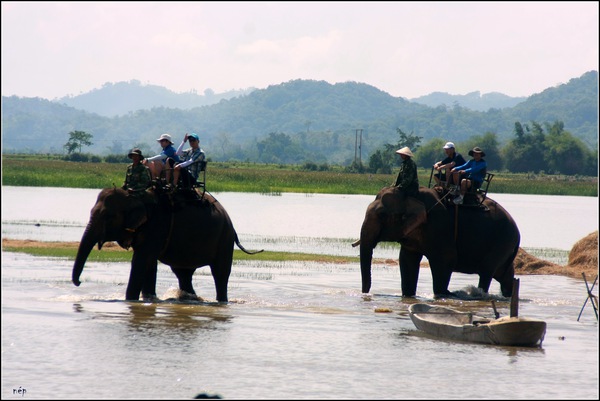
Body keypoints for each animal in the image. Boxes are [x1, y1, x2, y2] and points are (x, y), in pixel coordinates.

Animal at [71, 187, 262, 300]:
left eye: (108, 216)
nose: (79, 283)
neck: (134, 195)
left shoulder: (157, 225)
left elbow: (141, 260)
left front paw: (131, 300)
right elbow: (149, 263)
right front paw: (148, 300)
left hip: (224, 238)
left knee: (220, 274)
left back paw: (220, 301)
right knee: (183, 274)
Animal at [356, 186, 520, 296]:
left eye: (382, 215)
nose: (366, 294)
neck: (411, 195)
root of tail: (518, 232)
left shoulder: (439, 226)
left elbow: (446, 259)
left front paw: (445, 294)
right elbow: (407, 260)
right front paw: (408, 295)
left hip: (502, 241)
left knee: (486, 271)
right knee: (504, 275)